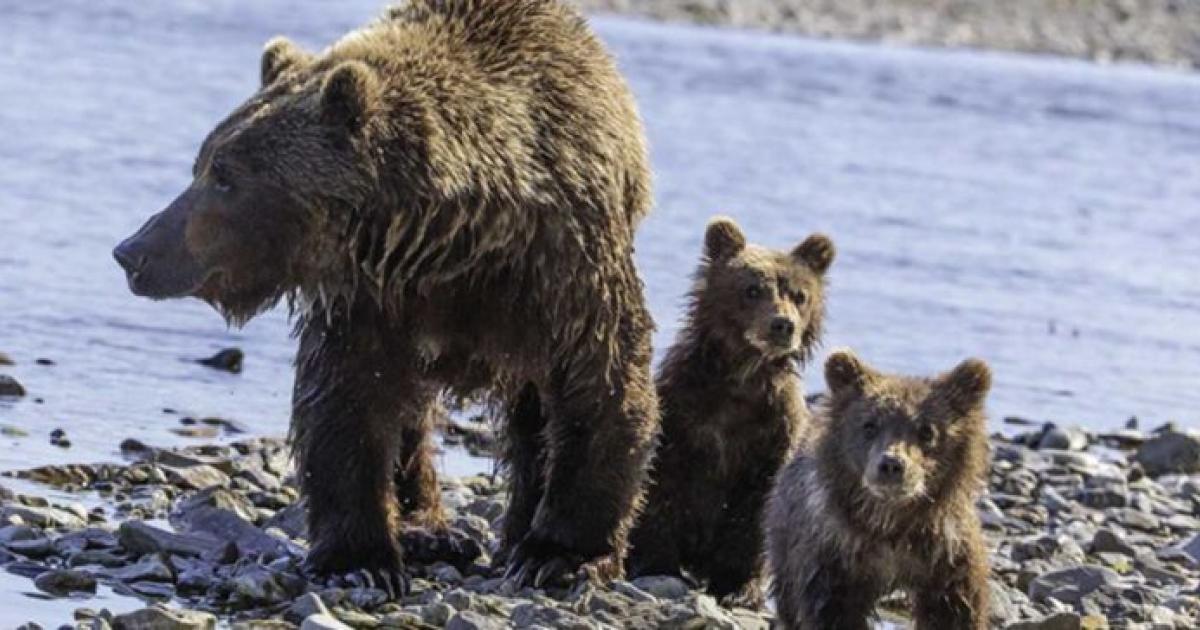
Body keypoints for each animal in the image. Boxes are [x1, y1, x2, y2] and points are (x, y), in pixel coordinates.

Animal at [112, 0, 657, 590]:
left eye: (225, 176)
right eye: (202, 163)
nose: (132, 251)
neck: (450, 244)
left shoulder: (562, 271)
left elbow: (600, 381)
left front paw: (558, 554)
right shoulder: (370, 298)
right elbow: (348, 402)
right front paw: (361, 559)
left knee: (531, 415)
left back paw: (512, 535)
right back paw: (427, 529)